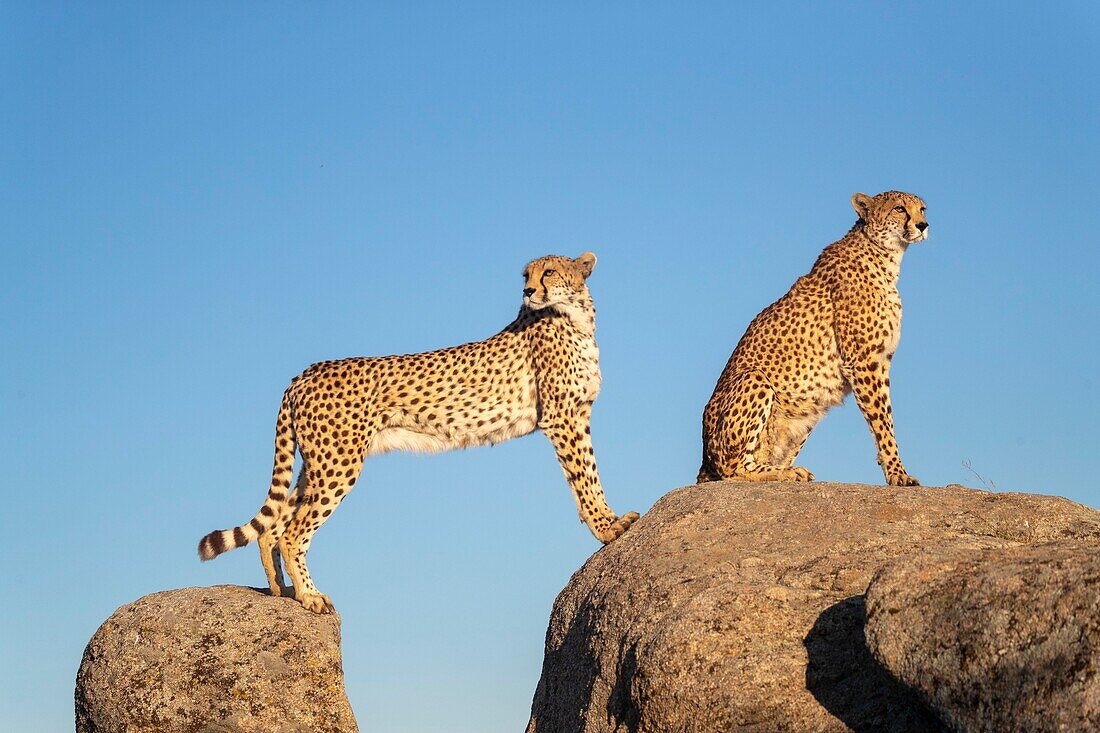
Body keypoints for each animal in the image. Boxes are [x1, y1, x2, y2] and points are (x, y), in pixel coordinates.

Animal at [198, 250, 638, 611]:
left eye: (548, 272)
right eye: (525, 275)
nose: (528, 290)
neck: (575, 317)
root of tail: (304, 373)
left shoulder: (577, 416)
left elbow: (590, 473)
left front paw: (609, 521)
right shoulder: (563, 419)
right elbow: (585, 477)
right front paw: (608, 529)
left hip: (319, 464)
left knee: (273, 527)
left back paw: (281, 591)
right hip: (338, 464)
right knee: (292, 532)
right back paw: (309, 596)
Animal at [695, 191, 928, 484]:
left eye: (922, 209)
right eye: (899, 208)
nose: (923, 225)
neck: (886, 255)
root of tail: (704, 462)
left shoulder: (880, 362)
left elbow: (886, 418)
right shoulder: (863, 362)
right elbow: (883, 423)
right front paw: (898, 474)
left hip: (806, 413)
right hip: (755, 379)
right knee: (732, 470)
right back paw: (784, 473)